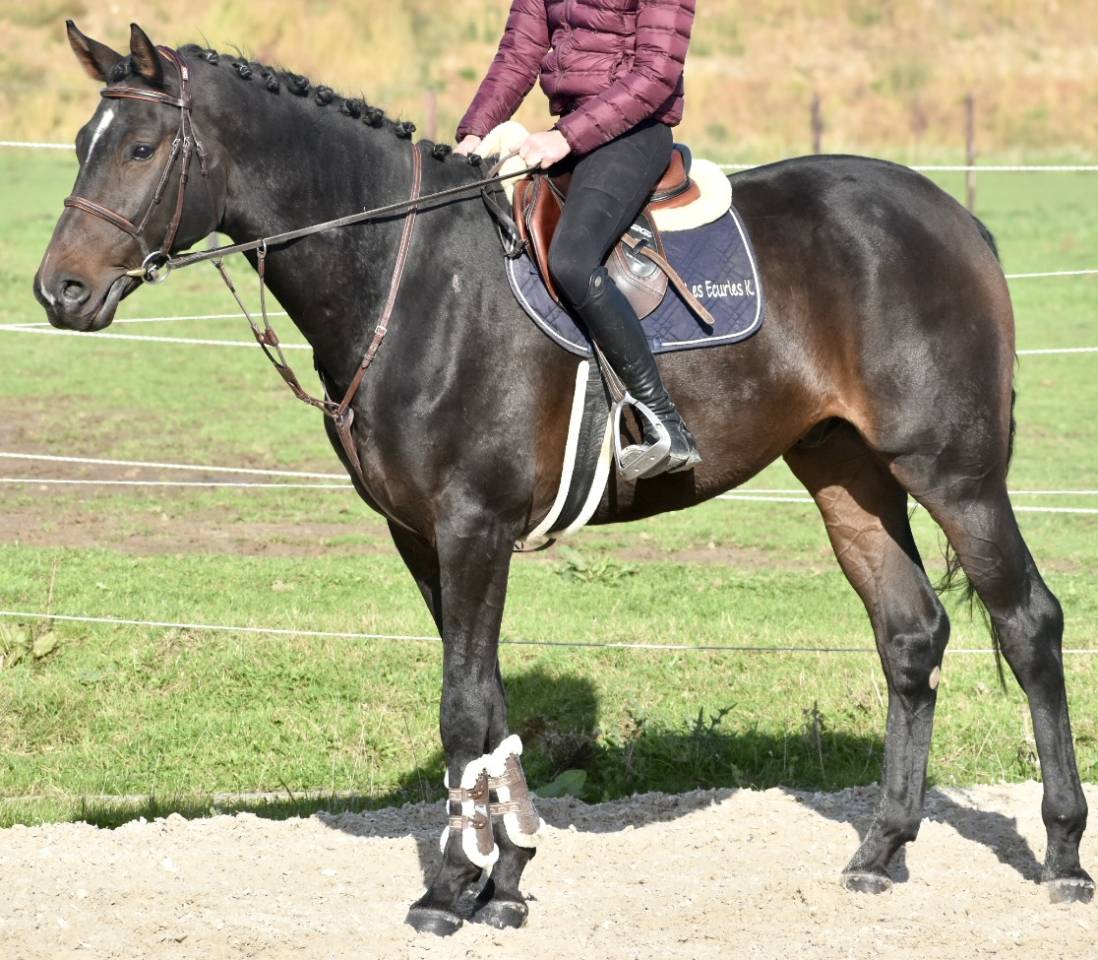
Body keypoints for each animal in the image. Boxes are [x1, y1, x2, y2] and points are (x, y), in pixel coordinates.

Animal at [34, 22, 1092, 935]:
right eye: (83, 143)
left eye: (140, 149)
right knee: (910, 635)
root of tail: (949, 214)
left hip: (954, 473)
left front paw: (450, 890)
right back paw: (882, 849)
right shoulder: (424, 536)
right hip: (846, 473)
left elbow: (464, 709)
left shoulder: (472, 526)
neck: (411, 277)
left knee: (1029, 623)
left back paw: (1063, 856)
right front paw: (502, 881)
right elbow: (489, 708)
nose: (58, 292)